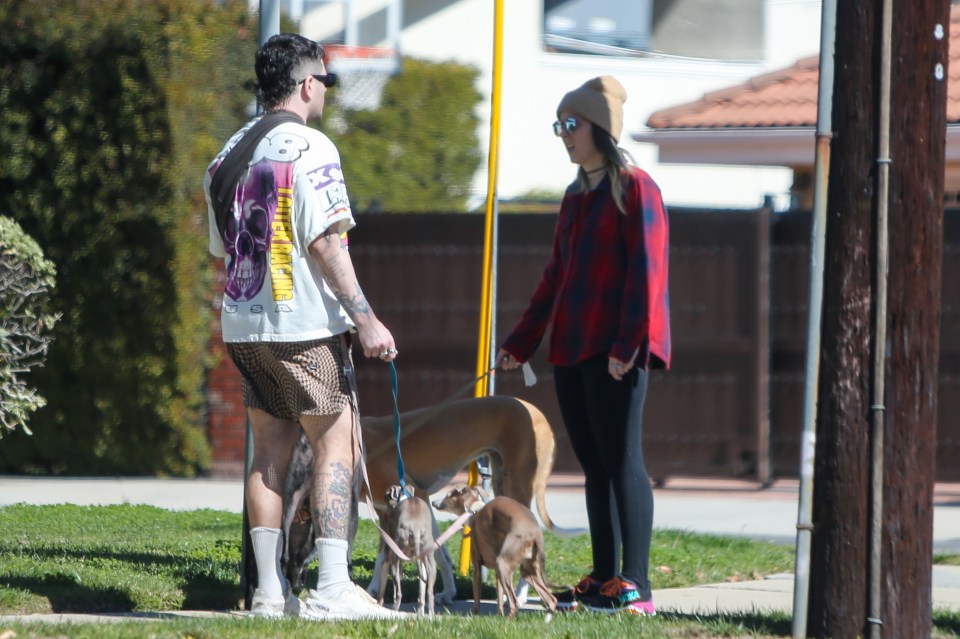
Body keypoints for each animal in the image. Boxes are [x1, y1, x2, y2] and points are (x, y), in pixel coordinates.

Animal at [376, 488, 436, 616]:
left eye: (386, 496)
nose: (382, 507)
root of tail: (416, 529)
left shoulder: (390, 560)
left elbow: (386, 590)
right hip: (429, 561)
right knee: (428, 592)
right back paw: (428, 615)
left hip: (395, 558)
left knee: (398, 592)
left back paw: (394, 609)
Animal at [434, 484, 560, 620]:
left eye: (448, 495)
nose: (433, 502)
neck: (476, 510)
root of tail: (535, 533)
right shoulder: (497, 572)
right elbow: (499, 598)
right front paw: (499, 616)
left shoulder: (477, 567)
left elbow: (477, 596)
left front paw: (475, 616)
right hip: (527, 571)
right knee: (551, 599)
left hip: (503, 564)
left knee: (514, 603)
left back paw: (508, 620)